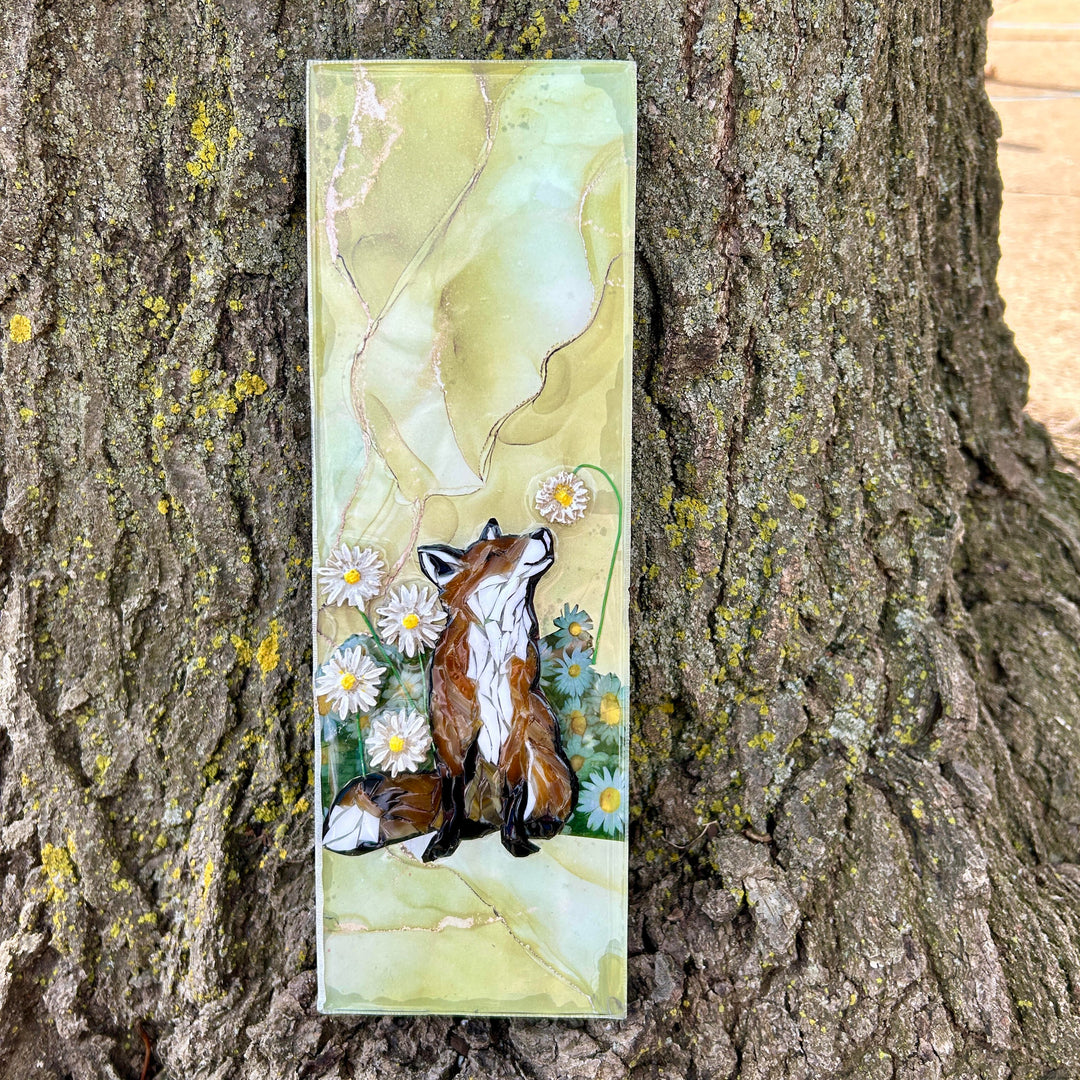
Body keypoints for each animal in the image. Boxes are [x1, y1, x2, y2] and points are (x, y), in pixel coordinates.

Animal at [322, 519, 577, 861]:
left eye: (516, 539)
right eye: (494, 554)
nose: (542, 532)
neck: (493, 652)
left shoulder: (517, 727)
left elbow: (516, 793)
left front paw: (516, 843)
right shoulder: (450, 733)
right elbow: (452, 799)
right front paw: (443, 843)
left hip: (544, 759)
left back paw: (539, 825)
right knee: (462, 812)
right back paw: (470, 829)